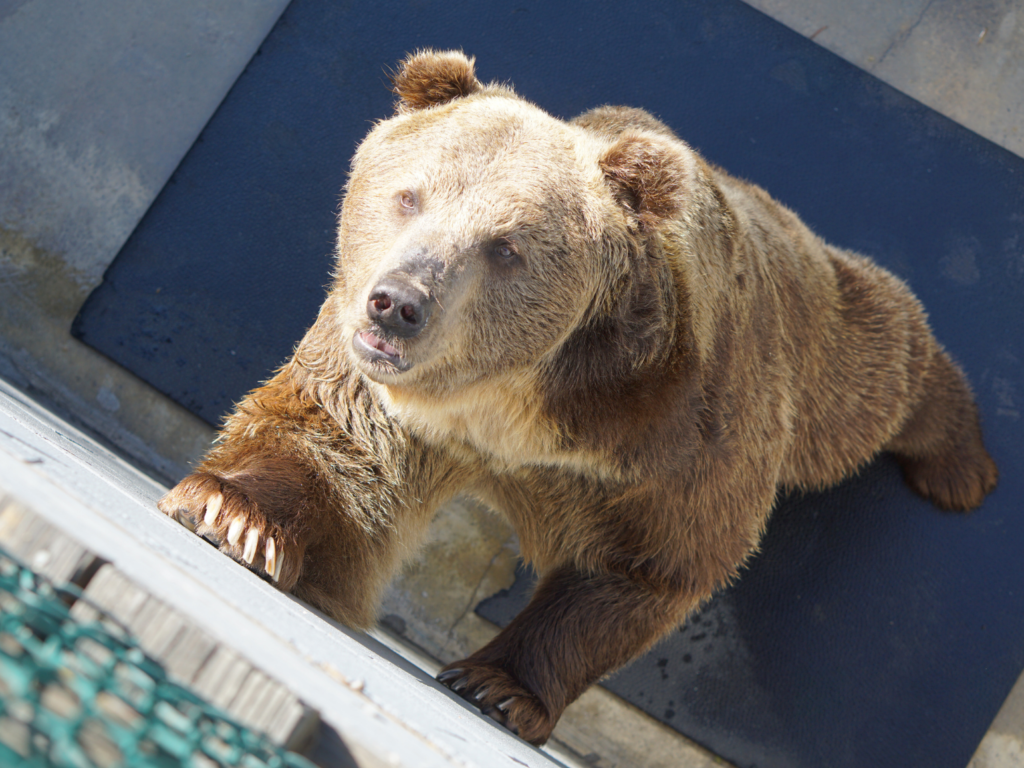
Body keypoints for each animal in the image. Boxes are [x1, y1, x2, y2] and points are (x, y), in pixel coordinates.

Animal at [161, 49, 999, 745]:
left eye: (504, 247)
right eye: (410, 196)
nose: (397, 303)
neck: (508, 400)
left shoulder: (673, 428)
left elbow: (651, 563)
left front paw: (496, 685)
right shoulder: (387, 394)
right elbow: (330, 447)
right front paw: (235, 516)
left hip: (805, 332)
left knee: (875, 367)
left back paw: (960, 464)